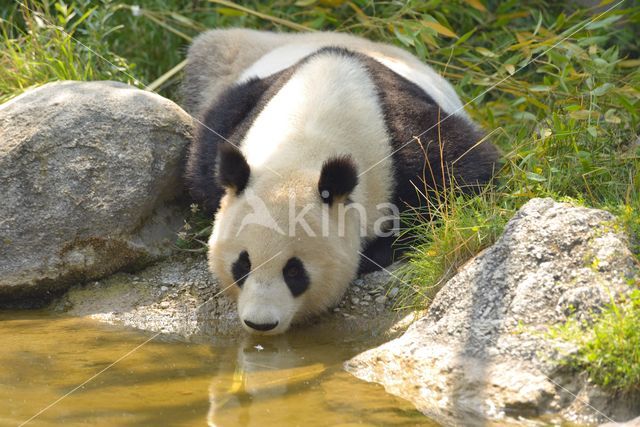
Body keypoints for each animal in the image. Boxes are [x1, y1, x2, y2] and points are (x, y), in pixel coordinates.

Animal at [181, 28, 500, 336]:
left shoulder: (408, 141)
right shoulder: (236, 119)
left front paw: (377, 251)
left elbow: (465, 174)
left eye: (294, 271)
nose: (261, 323)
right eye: (242, 264)